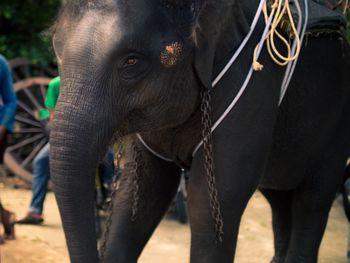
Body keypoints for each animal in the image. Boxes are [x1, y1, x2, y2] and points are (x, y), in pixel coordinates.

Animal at [50, 0, 350, 262]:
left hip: (337, 128)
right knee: (279, 200)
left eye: (131, 62)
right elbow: (139, 193)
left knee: (312, 201)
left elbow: (210, 204)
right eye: (56, 49)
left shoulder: (253, 86)